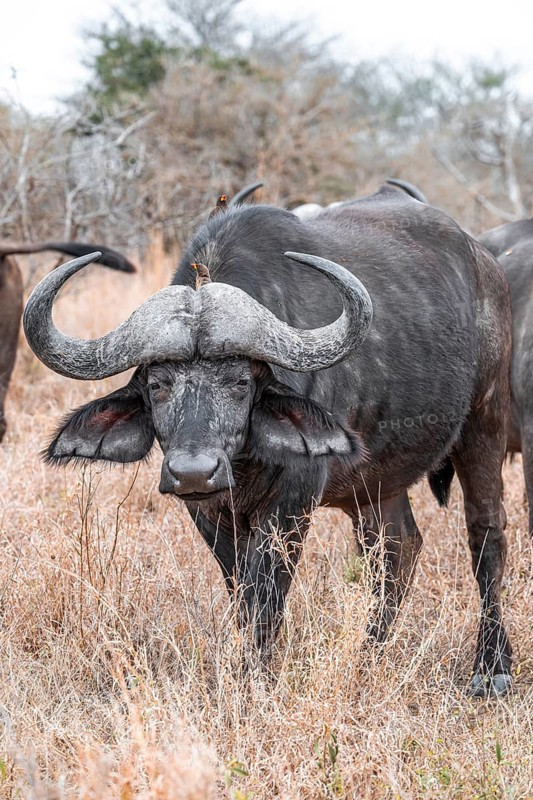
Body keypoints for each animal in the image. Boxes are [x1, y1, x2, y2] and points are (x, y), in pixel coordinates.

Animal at [24, 185, 513, 696]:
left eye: (241, 382)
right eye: (158, 384)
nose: (194, 472)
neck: (241, 462)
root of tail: (485, 265)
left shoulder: (292, 502)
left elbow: (266, 591)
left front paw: (255, 678)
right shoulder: (208, 512)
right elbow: (241, 591)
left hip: (486, 424)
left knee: (486, 537)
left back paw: (491, 667)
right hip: (375, 482)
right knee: (397, 549)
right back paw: (369, 654)